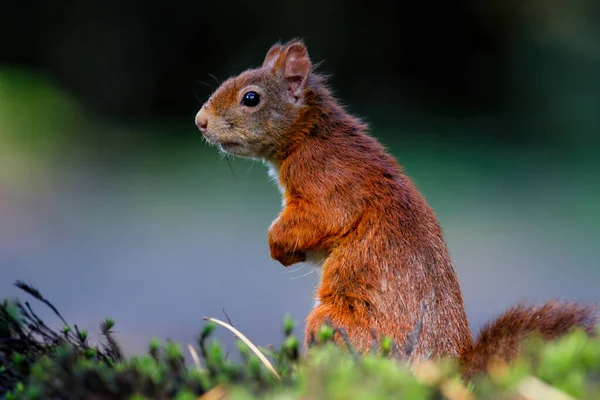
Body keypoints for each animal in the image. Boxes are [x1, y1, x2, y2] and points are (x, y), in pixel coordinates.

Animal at [195, 39, 596, 376]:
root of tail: (449, 367)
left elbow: (318, 220)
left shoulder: (327, 185)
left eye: (251, 98)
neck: (310, 136)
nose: (200, 122)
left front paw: (276, 244)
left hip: (337, 323)